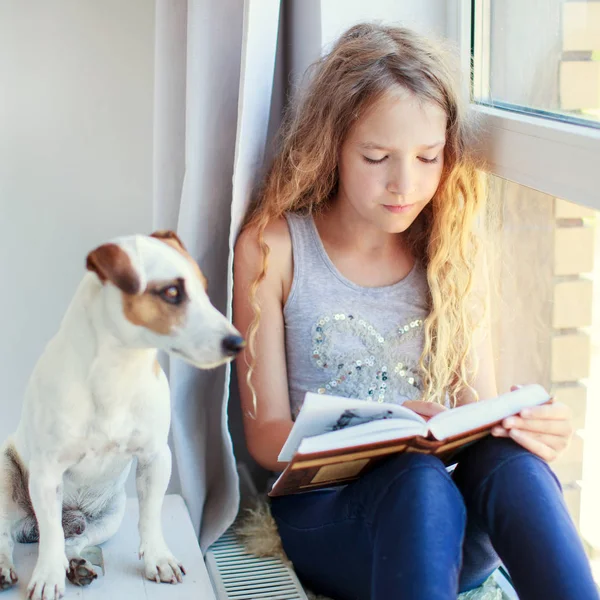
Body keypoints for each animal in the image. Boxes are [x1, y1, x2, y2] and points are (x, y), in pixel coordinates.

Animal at [0, 231, 244, 600]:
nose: (237, 342)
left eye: (204, 288)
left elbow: (151, 518)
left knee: (74, 540)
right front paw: (47, 577)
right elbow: (51, 540)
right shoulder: (46, 474)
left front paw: (158, 559)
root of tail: (29, 527)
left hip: (108, 518)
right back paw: (7, 566)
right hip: (5, 479)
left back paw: (78, 563)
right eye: (172, 292)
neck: (119, 372)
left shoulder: (156, 458)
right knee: (11, 535)